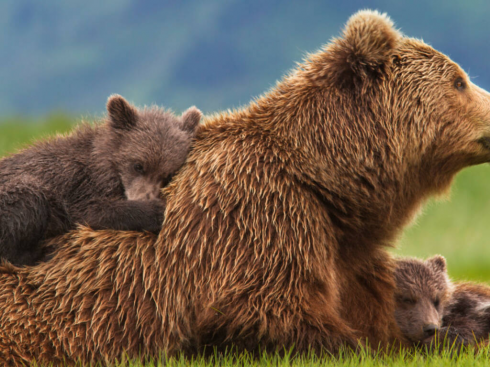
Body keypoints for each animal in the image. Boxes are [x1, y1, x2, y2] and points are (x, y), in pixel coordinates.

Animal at [0, 10, 490, 366]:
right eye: (460, 80)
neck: (326, 179)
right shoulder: (260, 221)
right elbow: (274, 313)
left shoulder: (341, 250)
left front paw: (469, 314)